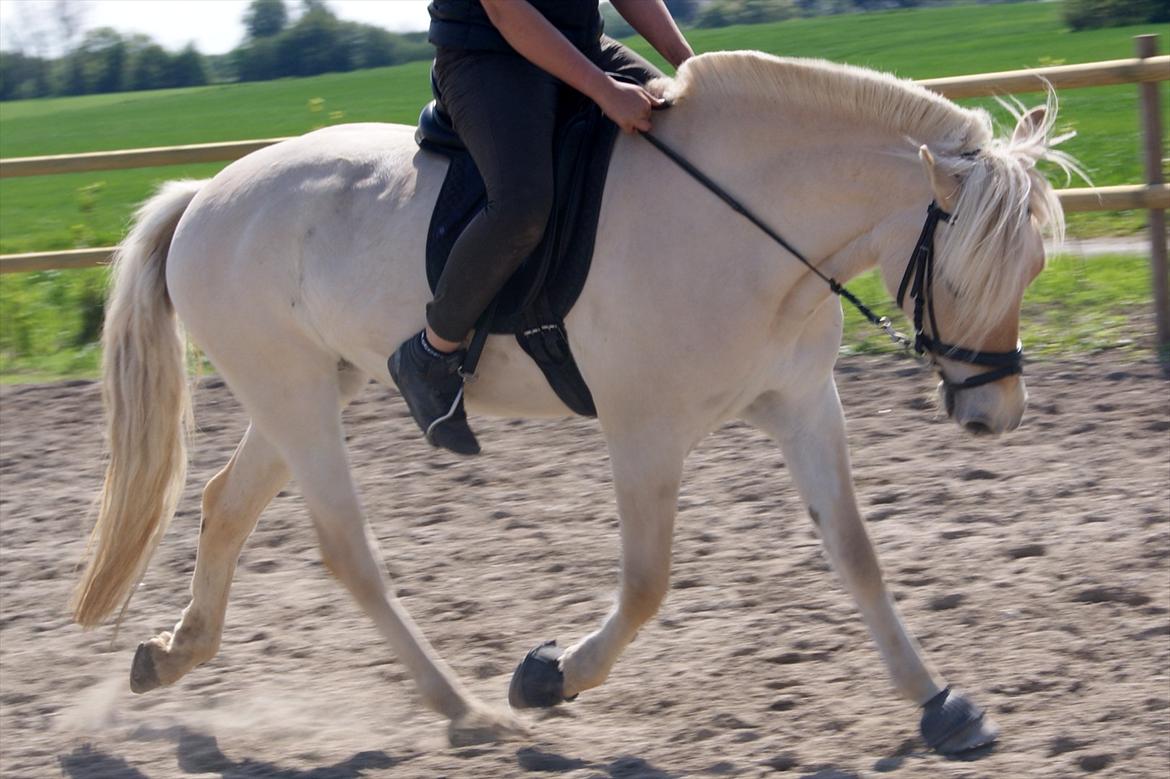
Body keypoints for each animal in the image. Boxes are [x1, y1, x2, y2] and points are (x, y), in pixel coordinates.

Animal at [70, 53, 1071, 748]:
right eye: (968, 272)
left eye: (1032, 270)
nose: (995, 414)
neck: (745, 225)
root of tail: (205, 194)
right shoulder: (644, 430)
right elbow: (646, 580)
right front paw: (546, 677)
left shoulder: (802, 402)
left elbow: (857, 554)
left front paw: (941, 704)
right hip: (294, 393)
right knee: (346, 550)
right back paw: (466, 708)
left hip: (313, 385)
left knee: (224, 505)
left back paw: (168, 656)